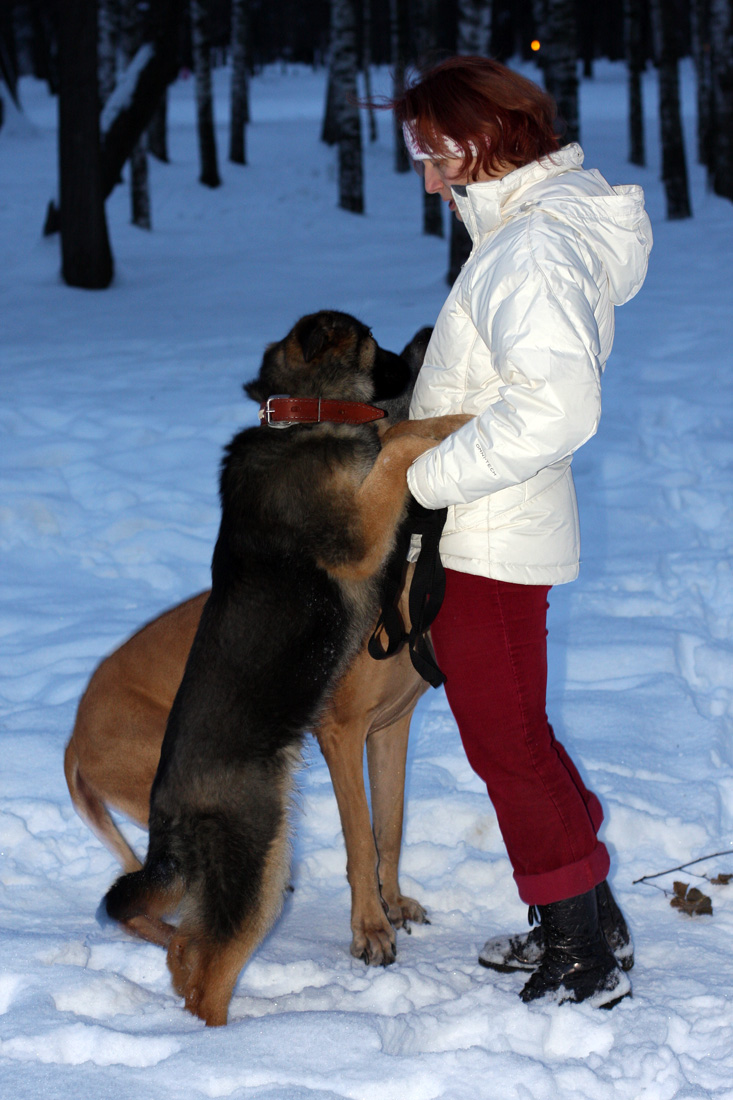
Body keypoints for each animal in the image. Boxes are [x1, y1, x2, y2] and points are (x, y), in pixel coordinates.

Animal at [85, 312, 468, 1025]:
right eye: (377, 340)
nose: (431, 324)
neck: (297, 416)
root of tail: (168, 812)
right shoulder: (356, 540)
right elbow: (396, 447)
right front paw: (450, 420)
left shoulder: (388, 731)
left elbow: (390, 827)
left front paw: (394, 905)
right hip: (259, 855)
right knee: (207, 969)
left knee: (187, 953)